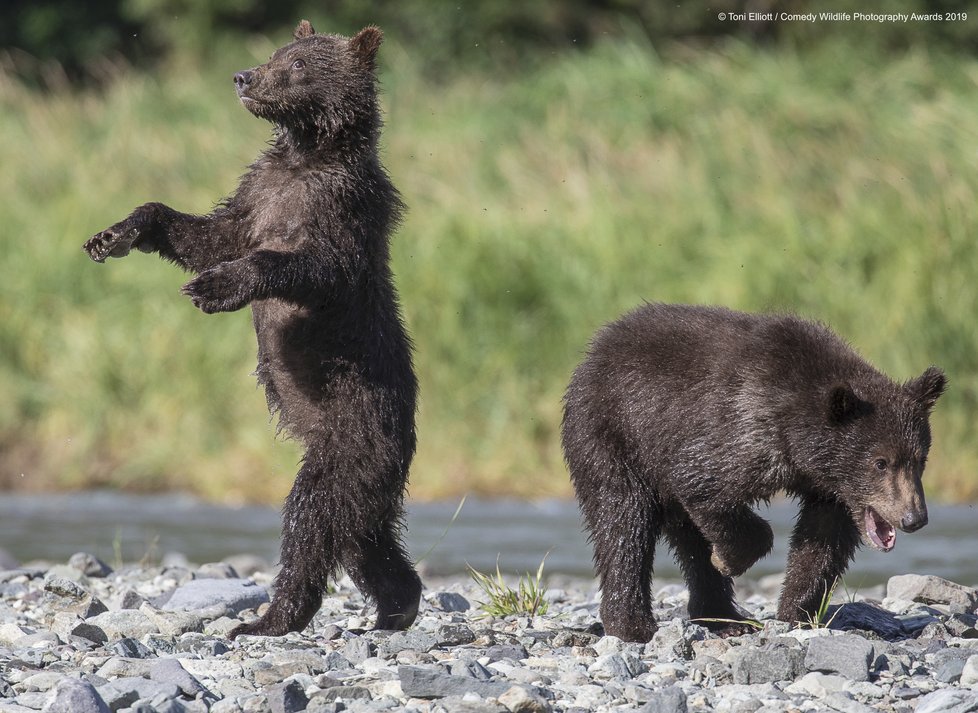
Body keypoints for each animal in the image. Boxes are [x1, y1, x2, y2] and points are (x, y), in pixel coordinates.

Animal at [83, 19, 420, 636]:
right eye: (275, 52)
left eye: (297, 65)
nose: (243, 76)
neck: (307, 153)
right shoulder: (257, 195)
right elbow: (204, 234)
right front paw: (114, 235)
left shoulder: (339, 208)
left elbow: (310, 266)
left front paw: (214, 289)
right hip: (362, 466)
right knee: (363, 534)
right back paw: (398, 602)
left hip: (350, 433)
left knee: (314, 516)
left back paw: (270, 618)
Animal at [564, 300, 944, 640]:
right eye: (880, 462)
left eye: (919, 458)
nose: (914, 517)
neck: (798, 439)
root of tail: (597, 346)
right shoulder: (742, 428)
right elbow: (702, 483)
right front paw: (728, 559)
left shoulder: (827, 488)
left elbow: (822, 541)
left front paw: (796, 610)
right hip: (615, 432)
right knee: (624, 520)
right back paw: (633, 625)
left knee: (686, 536)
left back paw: (724, 618)